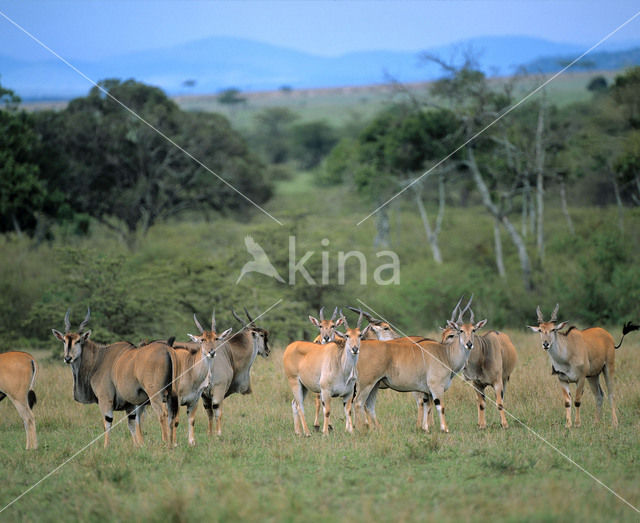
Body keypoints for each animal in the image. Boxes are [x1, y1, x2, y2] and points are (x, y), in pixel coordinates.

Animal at [51, 310, 178, 448]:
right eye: (64, 341)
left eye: (78, 341)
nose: (67, 358)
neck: (99, 359)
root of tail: (167, 350)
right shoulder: (130, 405)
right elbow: (132, 425)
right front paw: (137, 446)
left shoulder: (105, 400)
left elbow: (107, 423)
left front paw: (106, 446)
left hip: (155, 395)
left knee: (162, 414)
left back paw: (166, 443)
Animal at [170, 312, 232, 446]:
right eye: (202, 339)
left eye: (216, 338)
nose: (211, 352)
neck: (190, 371)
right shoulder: (177, 399)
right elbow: (176, 420)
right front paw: (175, 443)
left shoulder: (194, 399)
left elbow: (191, 420)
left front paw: (191, 442)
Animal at [442, 298, 516, 430]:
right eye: (461, 330)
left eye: (473, 330)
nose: (469, 344)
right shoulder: (477, 384)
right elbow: (481, 404)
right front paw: (482, 425)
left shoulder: (498, 382)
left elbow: (499, 403)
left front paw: (504, 424)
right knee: (479, 401)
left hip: (505, 378)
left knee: (501, 398)